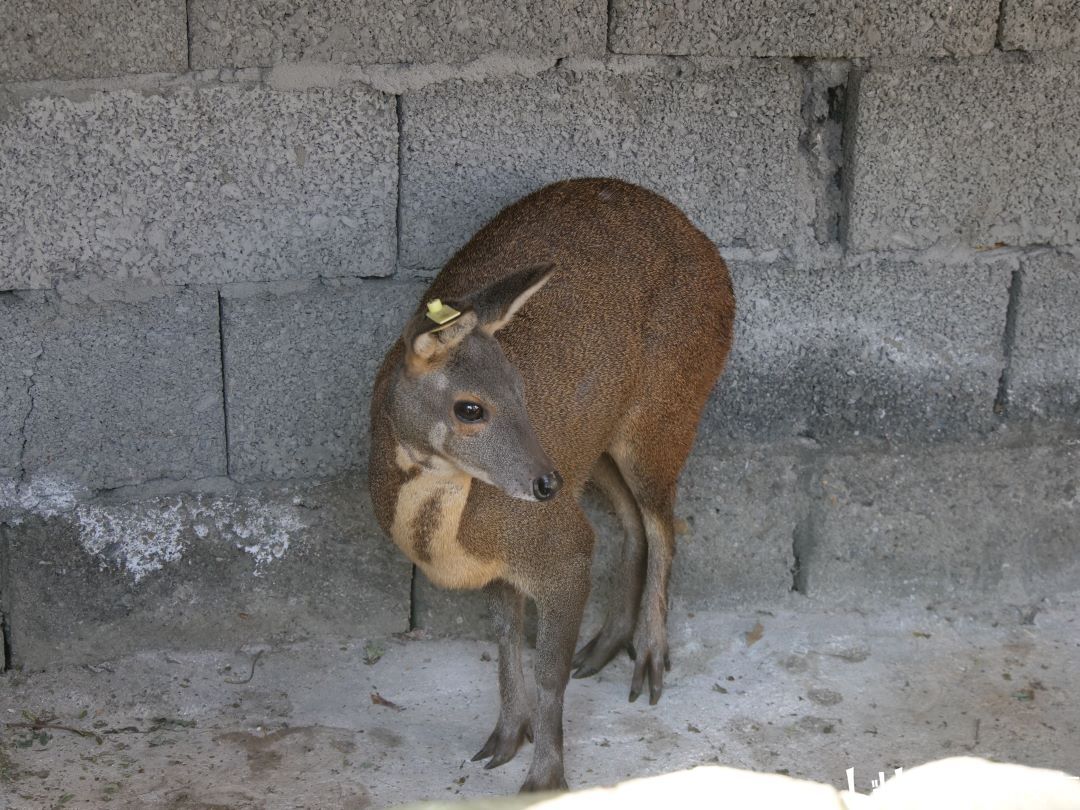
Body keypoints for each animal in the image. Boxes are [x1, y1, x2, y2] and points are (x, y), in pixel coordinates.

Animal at [369, 177, 734, 794]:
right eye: (470, 407)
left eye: (521, 387)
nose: (543, 483)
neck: (455, 543)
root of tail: (709, 248)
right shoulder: (502, 569)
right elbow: (508, 643)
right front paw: (503, 740)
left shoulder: (559, 550)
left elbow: (548, 669)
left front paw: (544, 780)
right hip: (598, 448)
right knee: (633, 521)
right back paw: (606, 645)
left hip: (667, 411)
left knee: (663, 522)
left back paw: (649, 660)